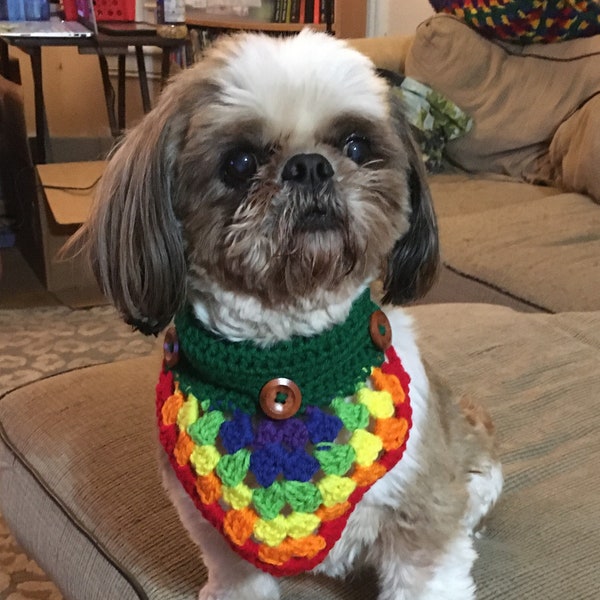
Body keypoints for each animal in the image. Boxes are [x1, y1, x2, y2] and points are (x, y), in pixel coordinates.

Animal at [70, 31, 504, 600]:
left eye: (356, 146)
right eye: (239, 162)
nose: (310, 165)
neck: (289, 352)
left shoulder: (422, 513)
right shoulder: (219, 535)